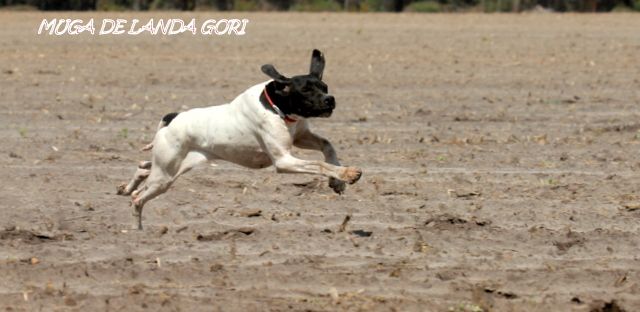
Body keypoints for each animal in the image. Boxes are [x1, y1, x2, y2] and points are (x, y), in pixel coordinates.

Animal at [117, 49, 362, 229]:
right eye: (306, 90)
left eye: (324, 86)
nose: (330, 100)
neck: (276, 106)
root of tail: (172, 117)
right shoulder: (283, 161)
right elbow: (319, 164)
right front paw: (347, 173)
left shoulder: (300, 137)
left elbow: (328, 146)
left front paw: (337, 181)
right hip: (165, 176)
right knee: (138, 198)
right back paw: (138, 232)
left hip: (171, 166)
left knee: (143, 166)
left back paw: (127, 188)